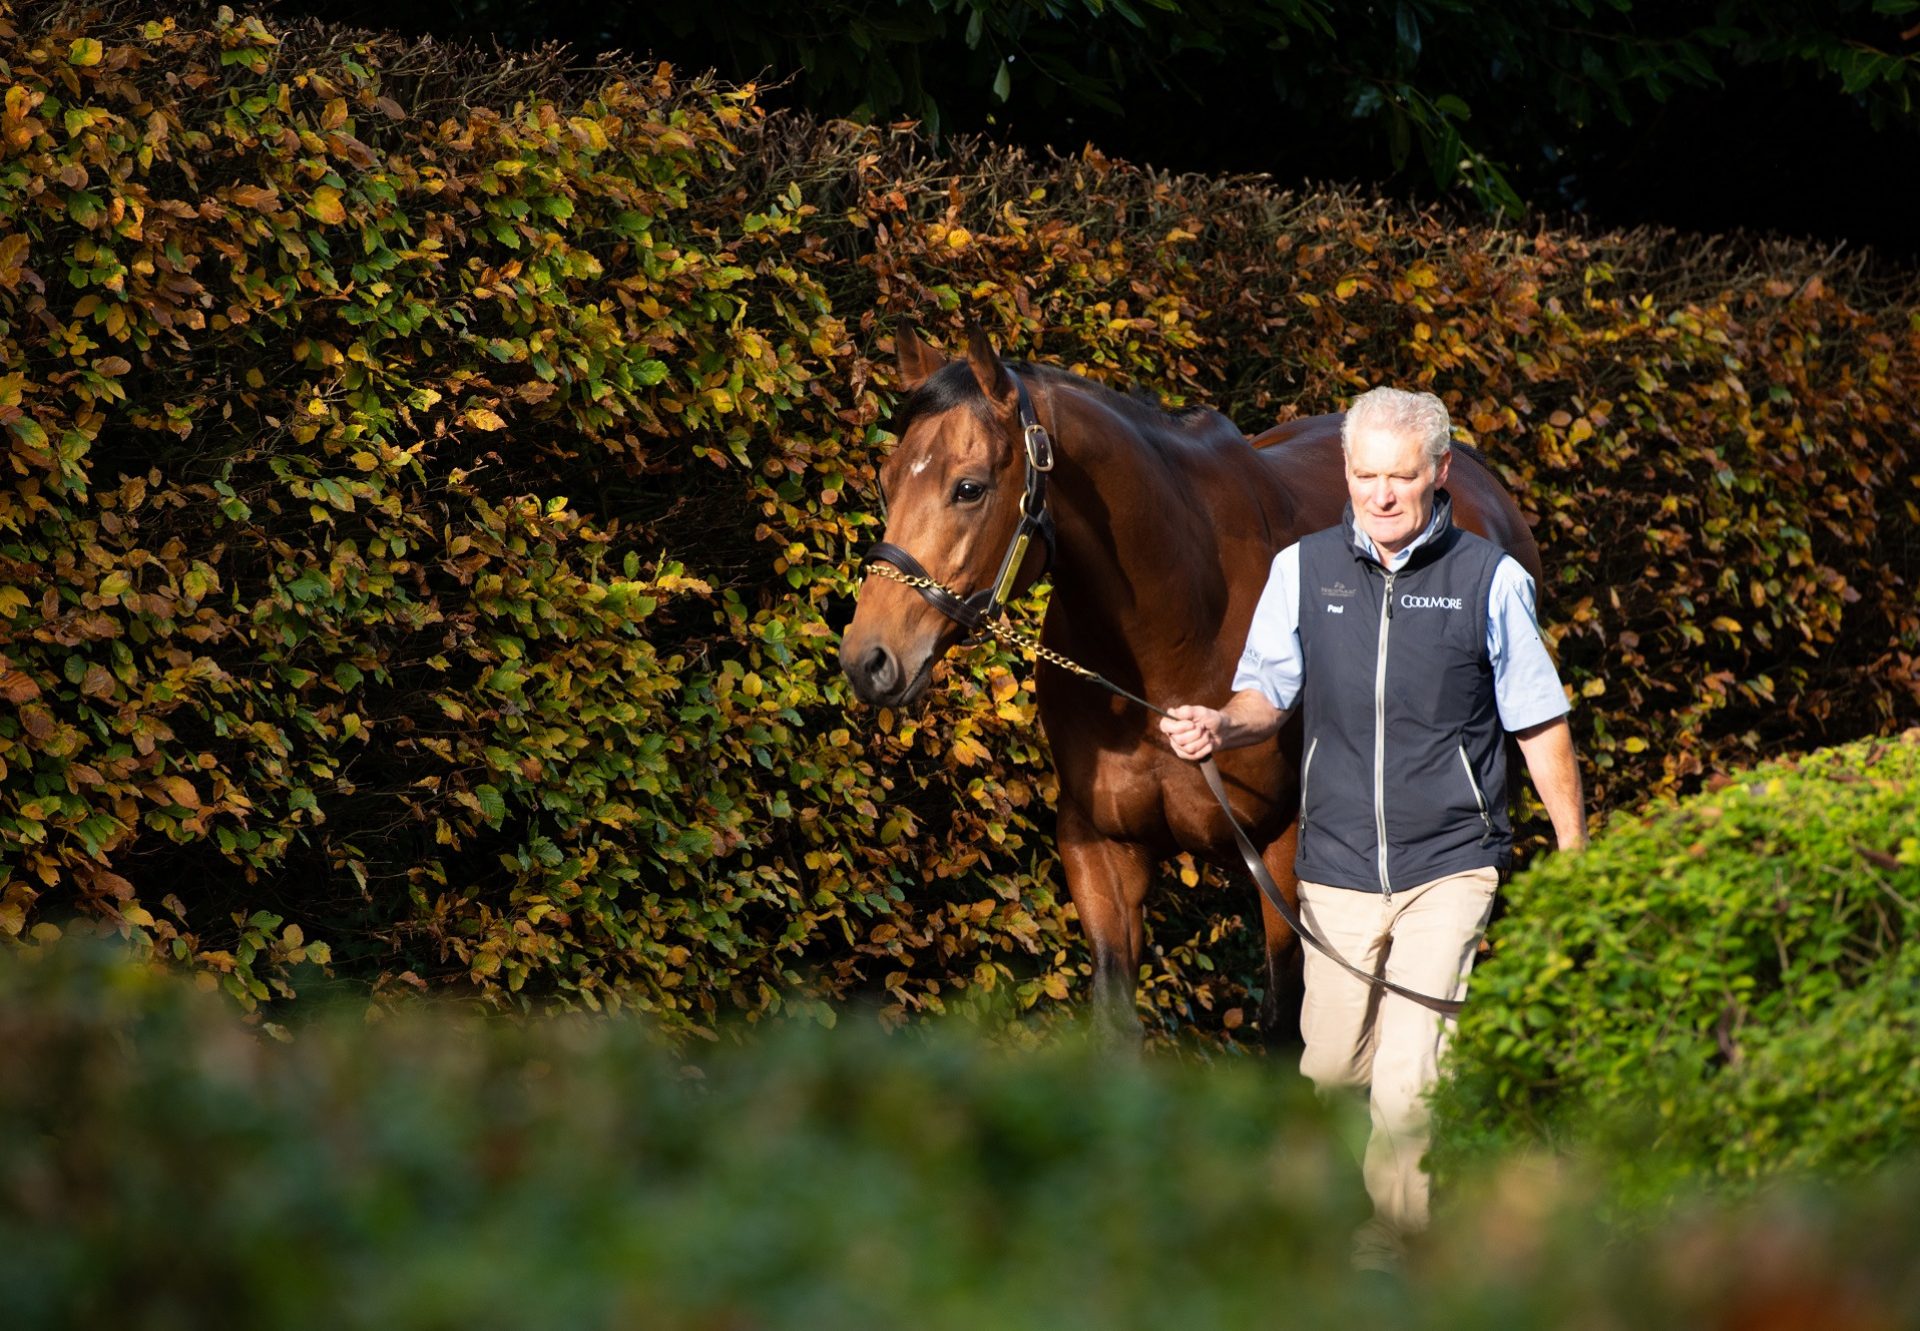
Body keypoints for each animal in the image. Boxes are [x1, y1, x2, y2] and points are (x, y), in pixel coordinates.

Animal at [840, 326, 1543, 1044]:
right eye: (887, 480)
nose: (869, 658)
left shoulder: (1285, 854)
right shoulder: (1101, 847)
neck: (1174, 631)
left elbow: (1286, 1021)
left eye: (969, 487)